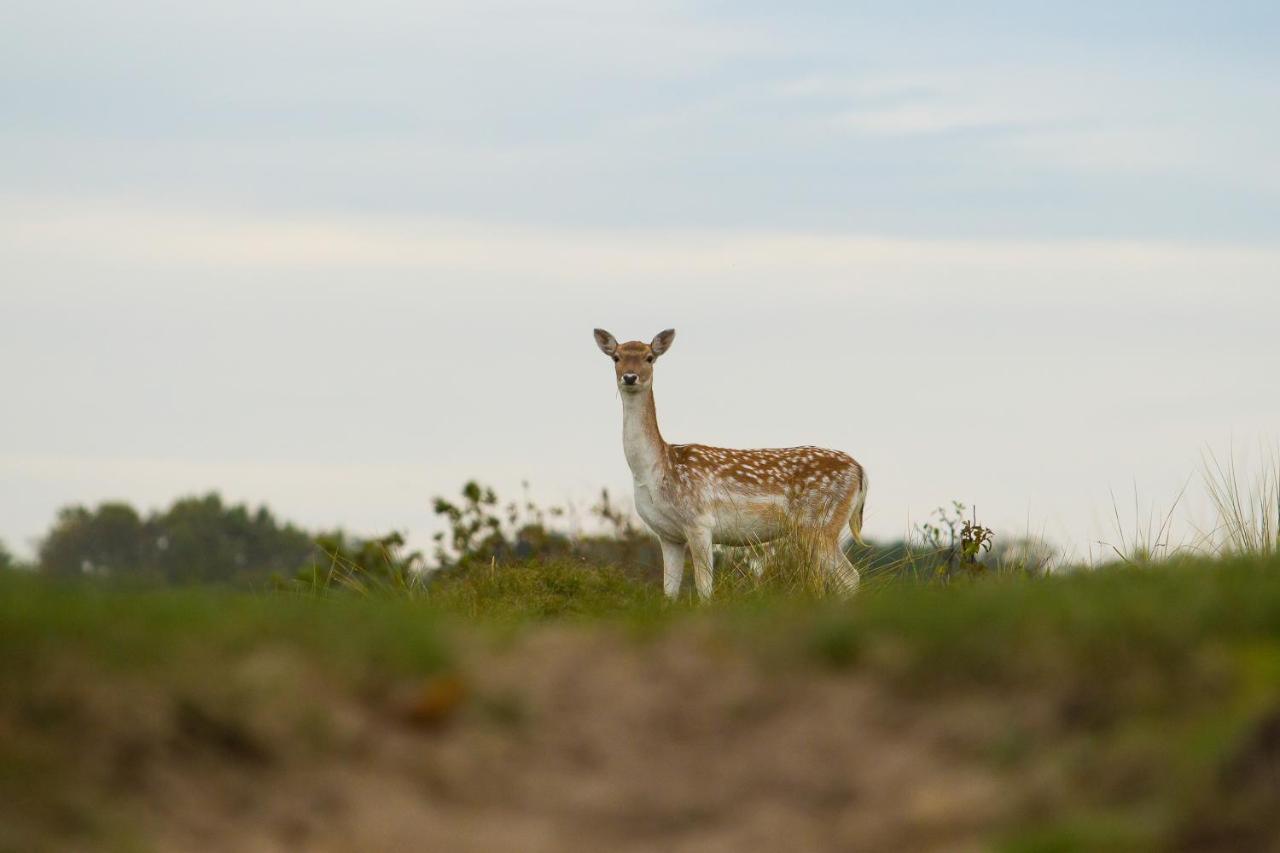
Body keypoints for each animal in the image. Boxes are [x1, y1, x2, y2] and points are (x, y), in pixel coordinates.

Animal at [593, 325, 865, 596]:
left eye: (649, 357)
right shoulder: (668, 535)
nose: (630, 377)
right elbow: (669, 593)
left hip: (820, 522)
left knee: (850, 577)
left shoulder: (700, 522)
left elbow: (705, 590)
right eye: (616, 357)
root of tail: (860, 471)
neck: (655, 471)